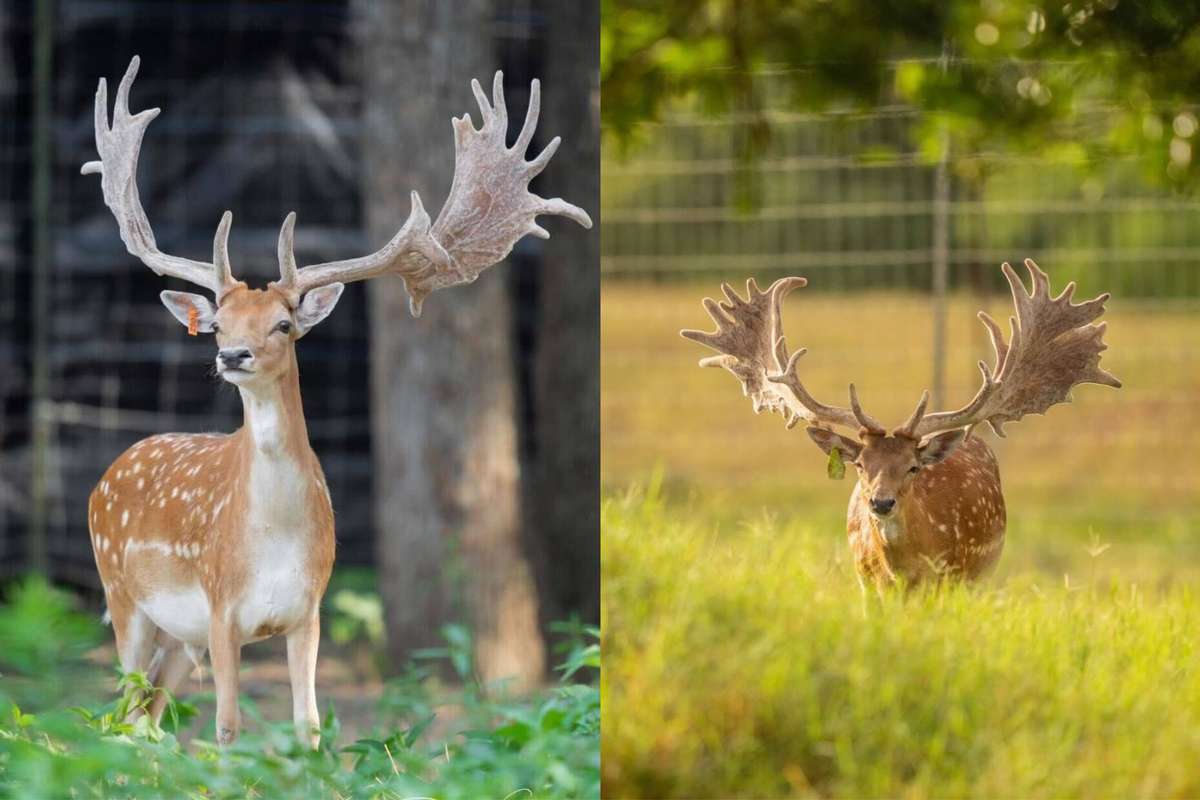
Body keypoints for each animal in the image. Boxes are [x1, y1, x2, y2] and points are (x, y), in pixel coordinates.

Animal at [83, 57, 590, 753]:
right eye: (219, 326)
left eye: (283, 325)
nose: (231, 356)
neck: (270, 542)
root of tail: (104, 477)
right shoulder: (220, 607)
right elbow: (227, 730)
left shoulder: (308, 611)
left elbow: (310, 728)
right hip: (123, 596)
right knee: (121, 718)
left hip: (175, 636)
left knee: (147, 718)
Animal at [681, 261, 1118, 587]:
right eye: (860, 464)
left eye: (912, 467)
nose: (881, 502)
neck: (902, 573)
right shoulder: (866, 584)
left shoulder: (950, 579)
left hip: (983, 573)